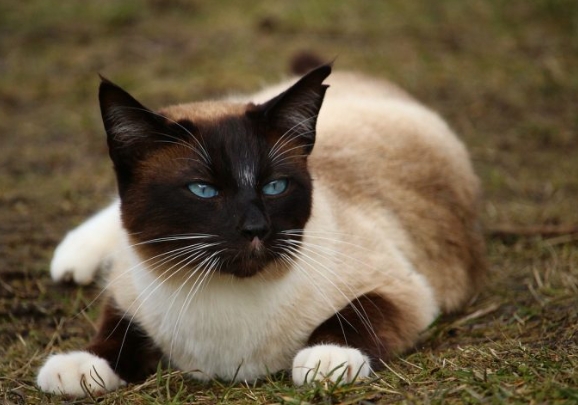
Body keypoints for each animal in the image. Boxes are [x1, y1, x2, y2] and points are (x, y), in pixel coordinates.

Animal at [37, 61, 486, 396]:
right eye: (203, 190)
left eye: (274, 187)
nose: (255, 227)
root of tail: (377, 82)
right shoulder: (127, 292)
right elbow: (117, 333)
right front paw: (76, 368)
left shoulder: (404, 290)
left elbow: (353, 318)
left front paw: (324, 359)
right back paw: (71, 262)